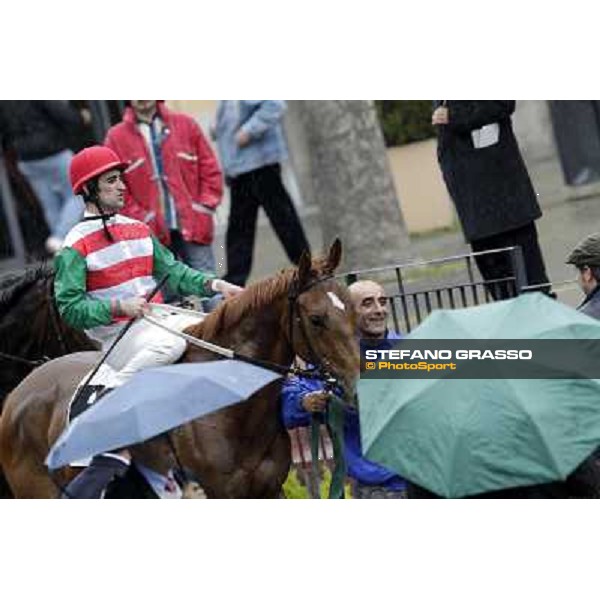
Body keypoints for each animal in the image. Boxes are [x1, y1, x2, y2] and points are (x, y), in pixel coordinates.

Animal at [0, 241, 358, 500]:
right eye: (316, 319)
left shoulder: (268, 491)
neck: (228, 404)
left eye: (350, 308)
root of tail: (17, 396)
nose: (356, 384)